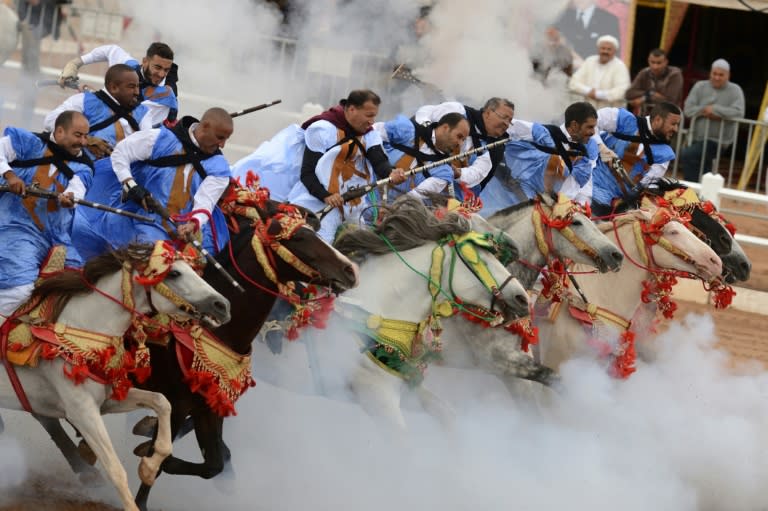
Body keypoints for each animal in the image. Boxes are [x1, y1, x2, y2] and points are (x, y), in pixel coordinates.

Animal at [0, 243, 231, 511]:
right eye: (174, 273)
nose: (223, 305)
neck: (81, 332)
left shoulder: (108, 399)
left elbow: (161, 402)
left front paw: (149, 467)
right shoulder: (82, 412)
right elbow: (115, 469)